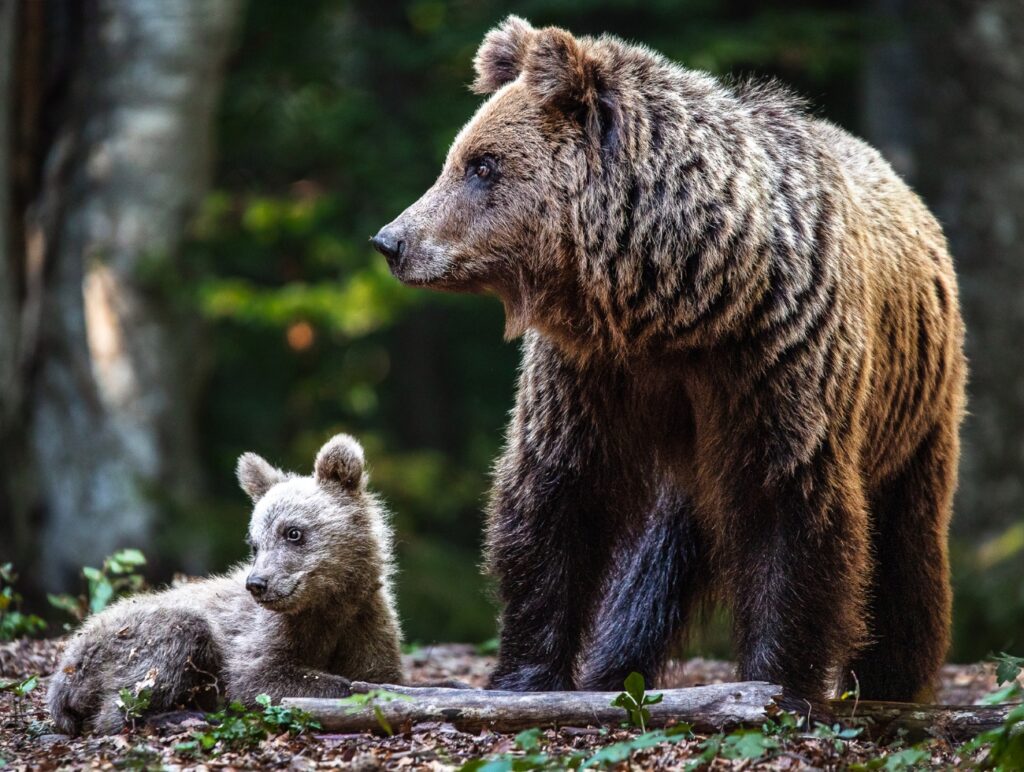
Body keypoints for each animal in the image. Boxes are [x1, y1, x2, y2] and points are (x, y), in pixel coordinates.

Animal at [372, 15, 962, 708]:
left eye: (481, 165)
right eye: (460, 157)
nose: (392, 241)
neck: (683, 305)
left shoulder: (778, 364)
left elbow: (790, 517)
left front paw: (780, 680)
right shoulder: (593, 372)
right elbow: (557, 496)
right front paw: (527, 676)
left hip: (916, 412)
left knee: (907, 548)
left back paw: (894, 679)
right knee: (655, 563)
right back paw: (616, 666)